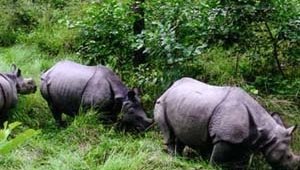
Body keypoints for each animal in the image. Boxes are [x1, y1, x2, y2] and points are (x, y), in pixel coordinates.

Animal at [155, 77, 300, 169]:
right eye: (288, 156)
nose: (294, 168)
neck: (265, 133)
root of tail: (169, 89)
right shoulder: (224, 137)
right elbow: (217, 157)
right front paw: (212, 166)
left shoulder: (243, 139)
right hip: (161, 103)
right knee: (168, 132)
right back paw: (173, 157)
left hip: (182, 103)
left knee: (180, 134)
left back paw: (180, 158)